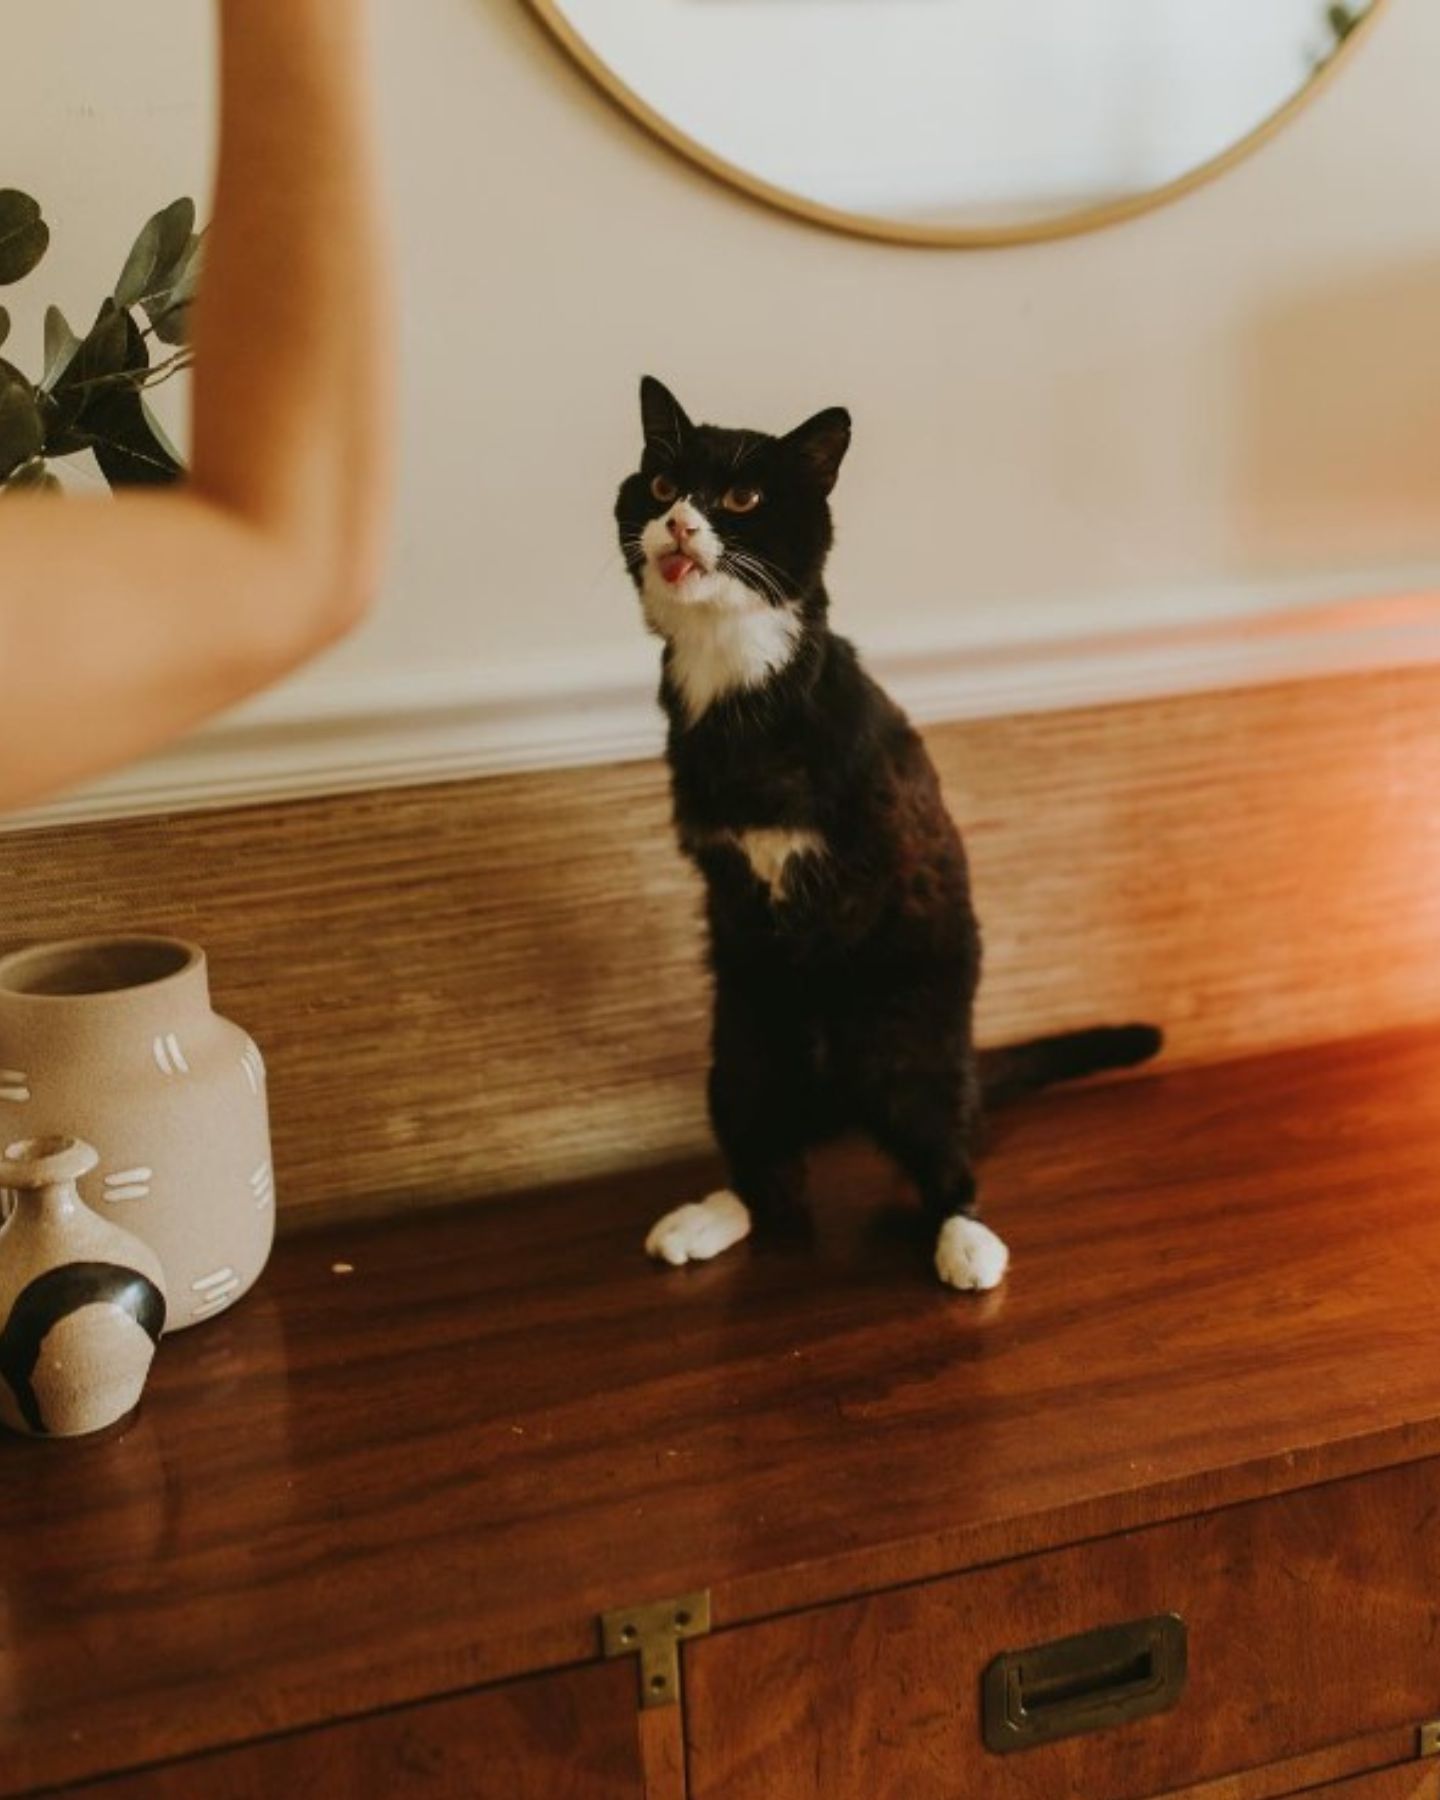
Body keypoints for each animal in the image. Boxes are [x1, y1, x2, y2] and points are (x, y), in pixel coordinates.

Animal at [615, 376, 1159, 1296]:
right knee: (769, 1167)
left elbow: (838, 942)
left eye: (742, 498)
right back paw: (714, 1212)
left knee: (940, 1146)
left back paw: (965, 1237)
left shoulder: (877, 861)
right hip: (738, 1053)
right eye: (660, 486)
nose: (682, 523)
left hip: (918, 1043)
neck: (734, 681)